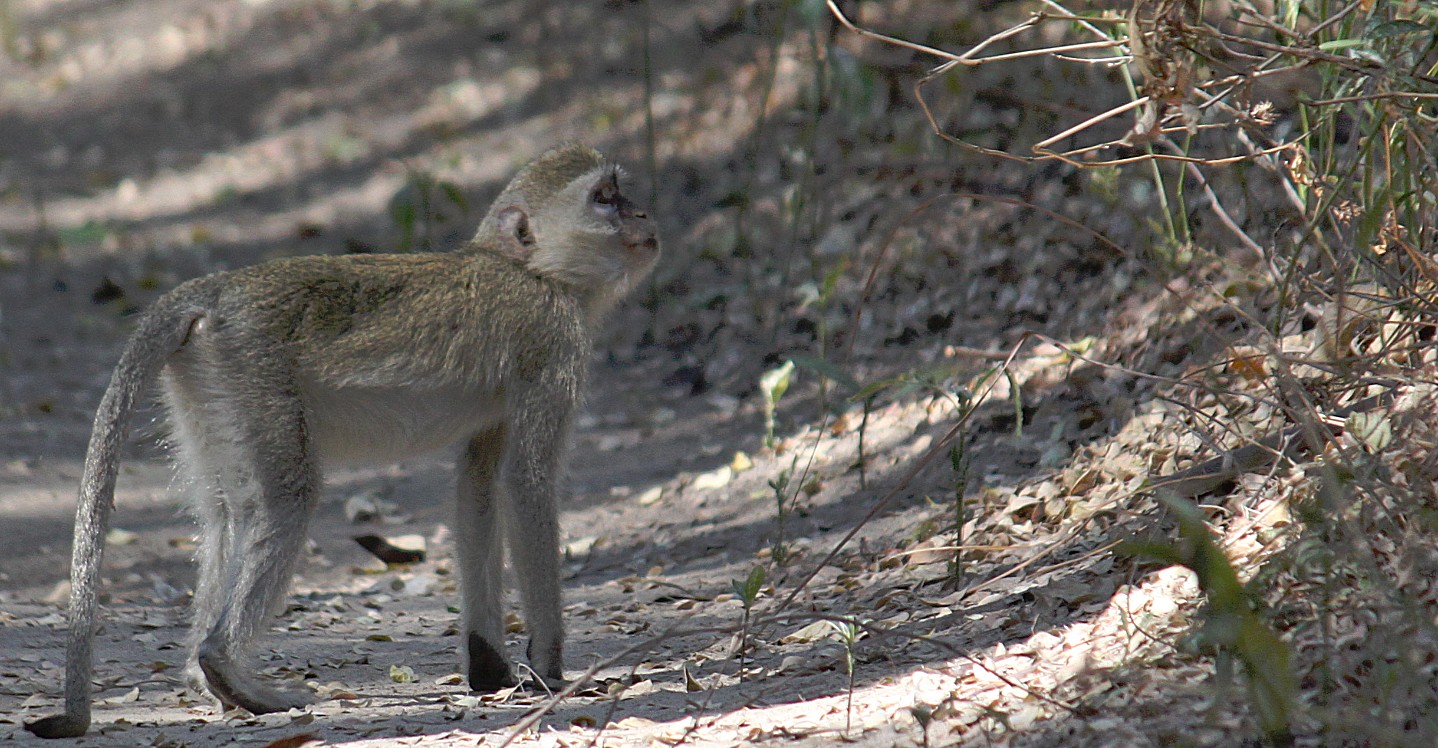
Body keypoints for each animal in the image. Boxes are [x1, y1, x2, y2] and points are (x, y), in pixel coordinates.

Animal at [28, 144, 658, 736]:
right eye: (604, 198)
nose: (645, 214)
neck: (534, 271)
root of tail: (219, 290)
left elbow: (478, 487)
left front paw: (489, 667)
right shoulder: (553, 341)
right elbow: (525, 485)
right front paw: (550, 669)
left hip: (207, 379)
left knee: (227, 513)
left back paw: (207, 678)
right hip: (253, 370)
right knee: (287, 498)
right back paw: (224, 665)